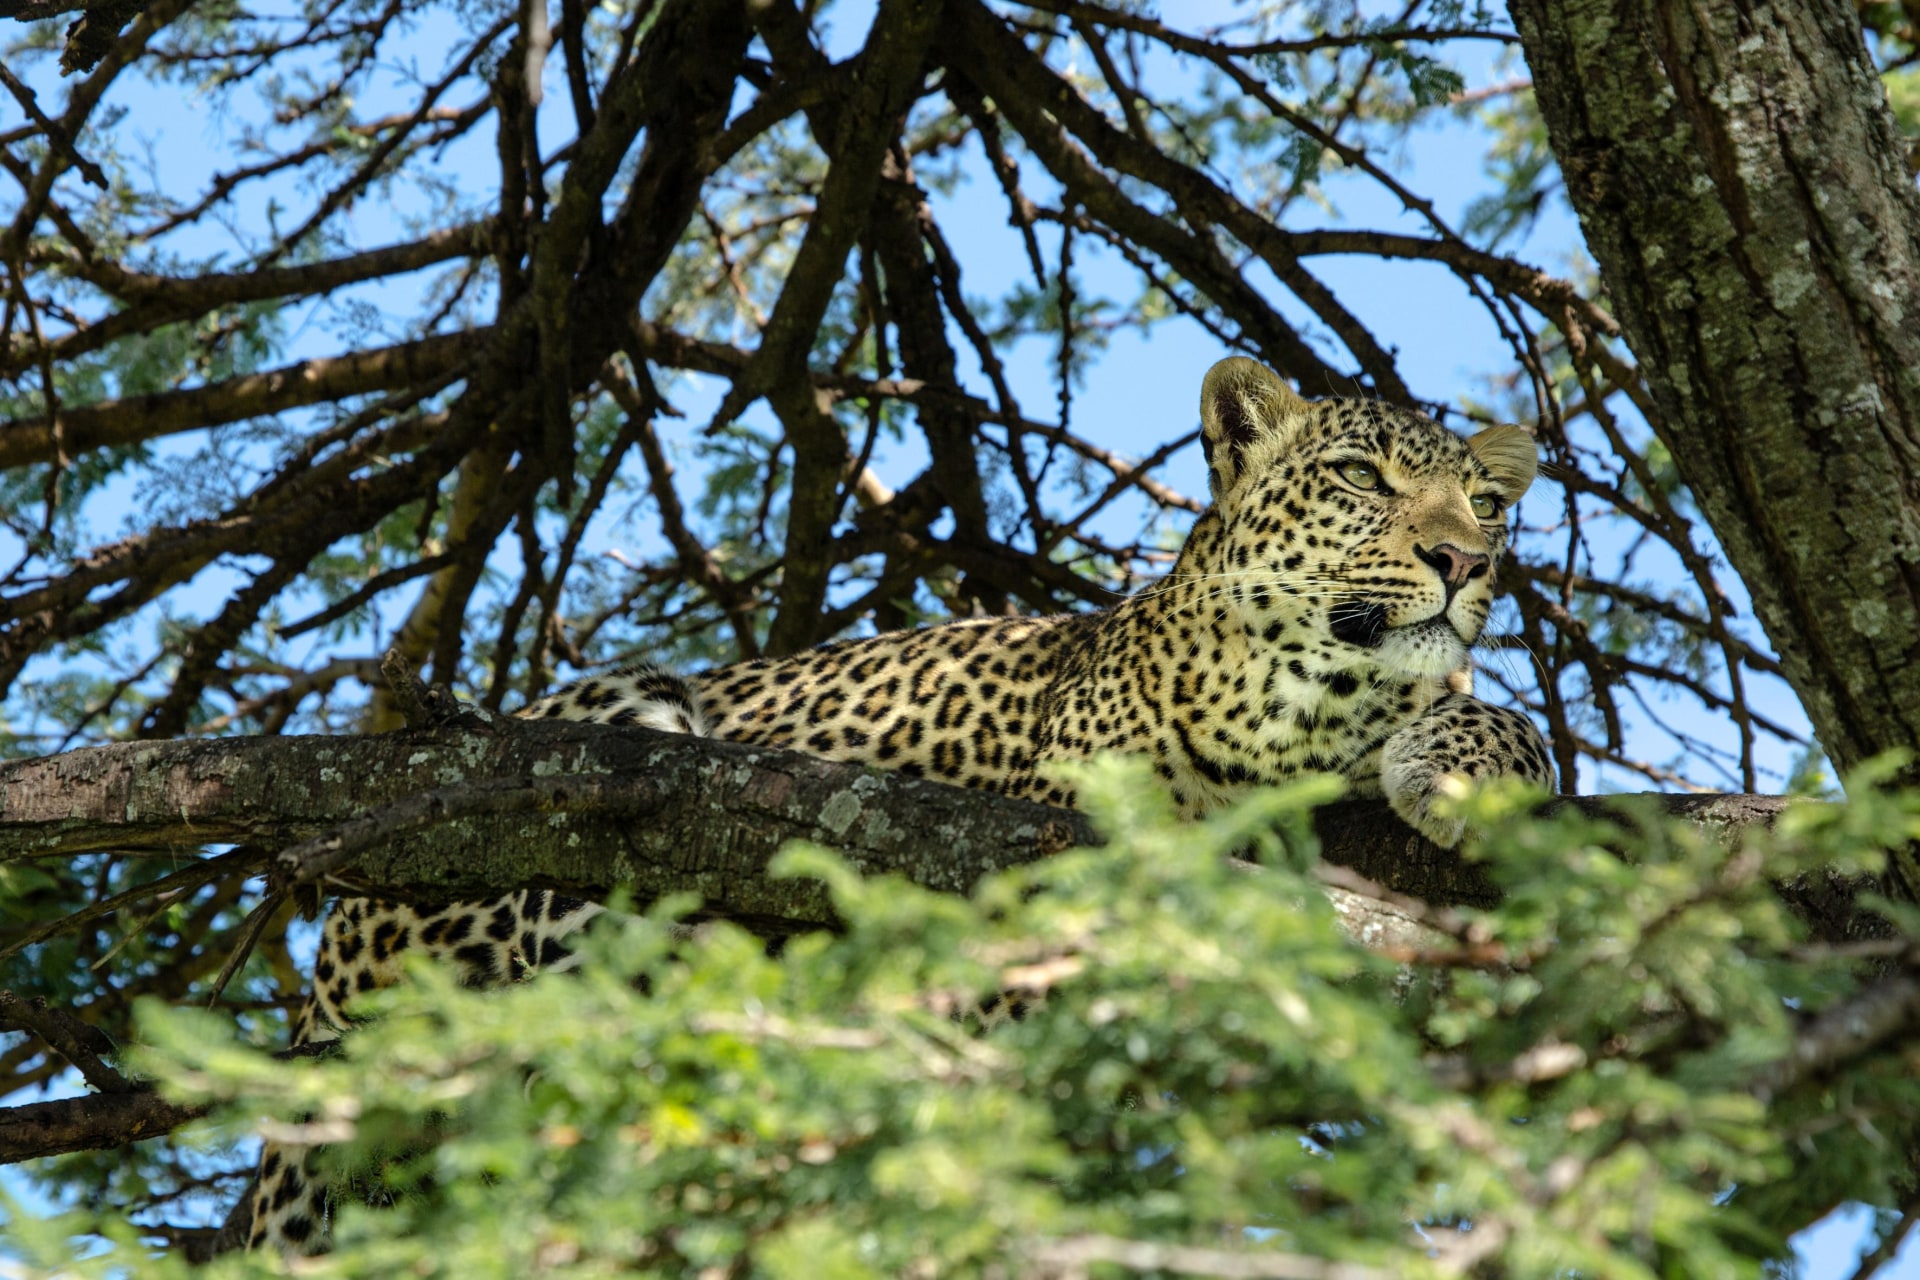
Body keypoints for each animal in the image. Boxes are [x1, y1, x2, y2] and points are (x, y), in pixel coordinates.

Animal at [243, 358, 1559, 1251]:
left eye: (1487, 506)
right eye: (1361, 476)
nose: (1466, 562)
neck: (1307, 711)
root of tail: (325, 968)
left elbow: (1497, 713)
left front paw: (1472, 759)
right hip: (608, 741)